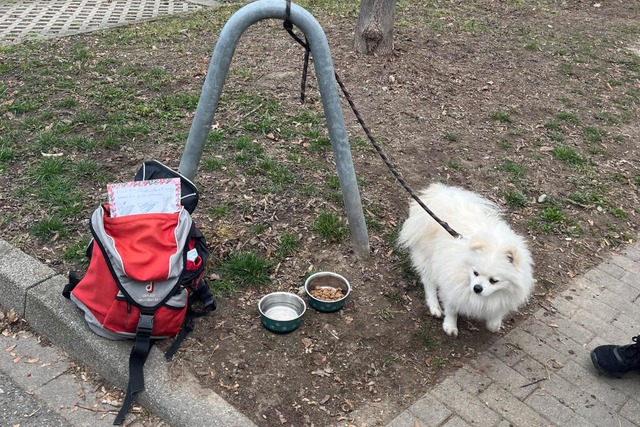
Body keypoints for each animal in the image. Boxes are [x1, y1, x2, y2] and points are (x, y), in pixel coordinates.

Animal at [398, 184, 532, 338]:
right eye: (475, 273)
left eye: (494, 280)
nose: (477, 288)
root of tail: (443, 198)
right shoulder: (452, 286)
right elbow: (451, 309)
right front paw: (450, 326)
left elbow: (496, 313)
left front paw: (494, 323)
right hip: (428, 258)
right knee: (429, 282)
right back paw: (434, 307)